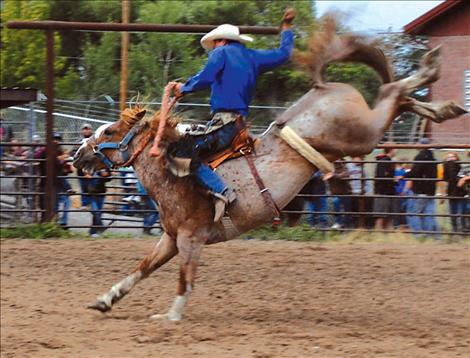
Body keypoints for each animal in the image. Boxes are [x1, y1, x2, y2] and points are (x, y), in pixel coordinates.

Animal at [73, 16, 466, 320]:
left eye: (109, 131)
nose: (78, 155)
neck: (172, 175)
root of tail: (323, 86)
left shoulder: (191, 238)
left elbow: (185, 278)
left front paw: (170, 316)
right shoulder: (170, 238)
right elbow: (142, 267)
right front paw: (105, 300)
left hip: (360, 135)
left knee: (393, 95)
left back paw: (433, 71)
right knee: (398, 97)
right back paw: (441, 105)